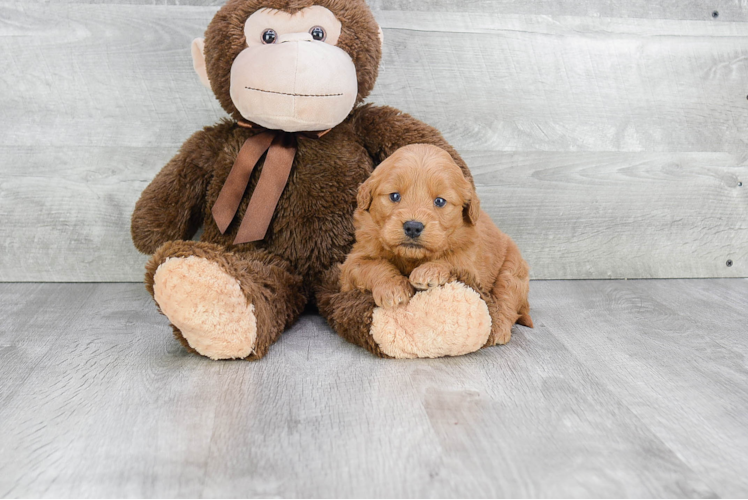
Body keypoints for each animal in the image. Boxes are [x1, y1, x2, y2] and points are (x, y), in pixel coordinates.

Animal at [338, 145, 532, 346]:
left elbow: (452, 259)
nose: (413, 227)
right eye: (394, 196)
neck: (411, 257)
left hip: (512, 270)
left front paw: (429, 271)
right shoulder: (352, 262)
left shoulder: (470, 260)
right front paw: (392, 288)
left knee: (506, 299)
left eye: (439, 201)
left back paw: (499, 328)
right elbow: (374, 265)